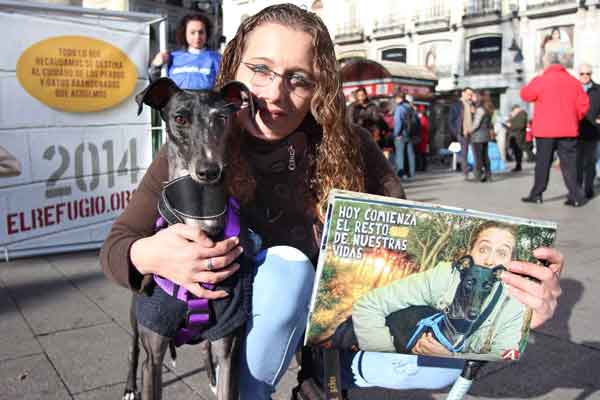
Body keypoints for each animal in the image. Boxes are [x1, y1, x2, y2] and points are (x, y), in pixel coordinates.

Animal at [125, 78, 256, 400]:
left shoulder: (229, 349)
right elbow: (146, 359)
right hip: (136, 318)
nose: (209, 171)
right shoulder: (153, 357)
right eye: (180, 118)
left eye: (221, 118)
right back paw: (129, 387)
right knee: (132, 350)